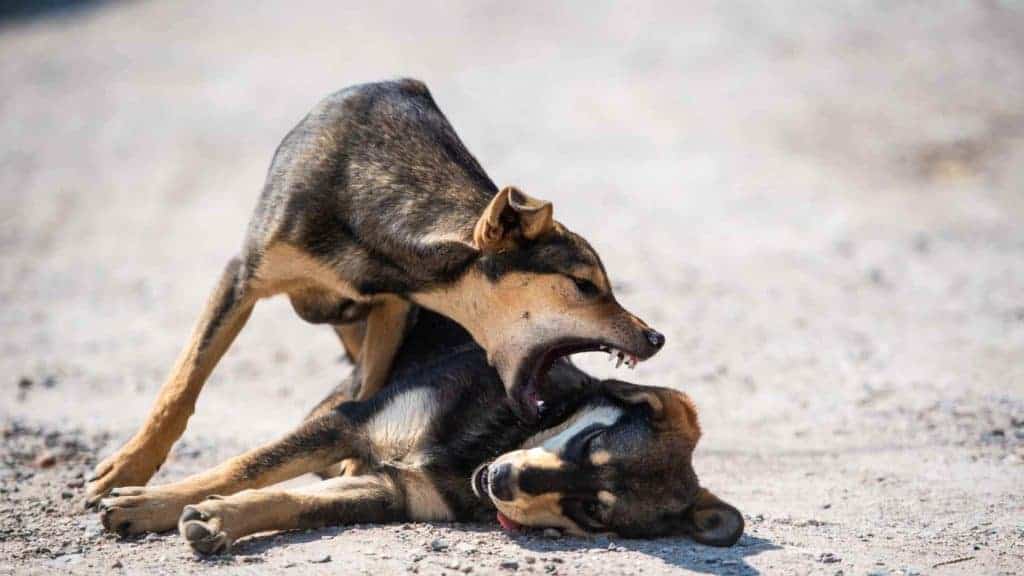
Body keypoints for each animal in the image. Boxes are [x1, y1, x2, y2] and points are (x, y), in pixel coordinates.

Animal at [86, 77, 663, 502]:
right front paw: (126, 469)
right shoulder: (242, 276)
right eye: (585, 285)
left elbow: (371, 386)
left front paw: (351, 462)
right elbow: (184, 380)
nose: (656, 338)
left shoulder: (393, 308)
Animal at [96, 307, 741, 549]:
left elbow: (287, 500)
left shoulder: (391, 492)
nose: (503, 482)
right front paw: (147, 503)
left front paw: (220, 519)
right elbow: (244, 466)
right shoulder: (349, 424)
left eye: (592, 512)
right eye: (591, 441)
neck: (496, 437)